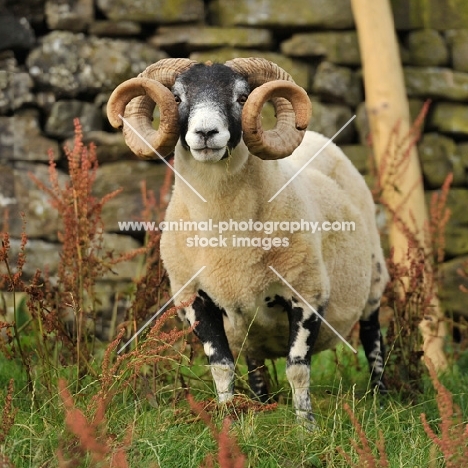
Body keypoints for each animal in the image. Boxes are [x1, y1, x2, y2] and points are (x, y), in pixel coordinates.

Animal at [108, 56, 390, 426]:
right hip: (249, 326)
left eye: (242, 97)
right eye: (178, 97)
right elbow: (221, 366)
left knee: (374, 343)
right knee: (254, 359)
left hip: (373, 283)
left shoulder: (308, 293)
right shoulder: (196, 299)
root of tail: (317, 138)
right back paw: (261, 402)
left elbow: (297, 369)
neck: (225, 232)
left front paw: (306, 426)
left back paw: (382, 400)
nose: (206, 133)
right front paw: (228, 419)